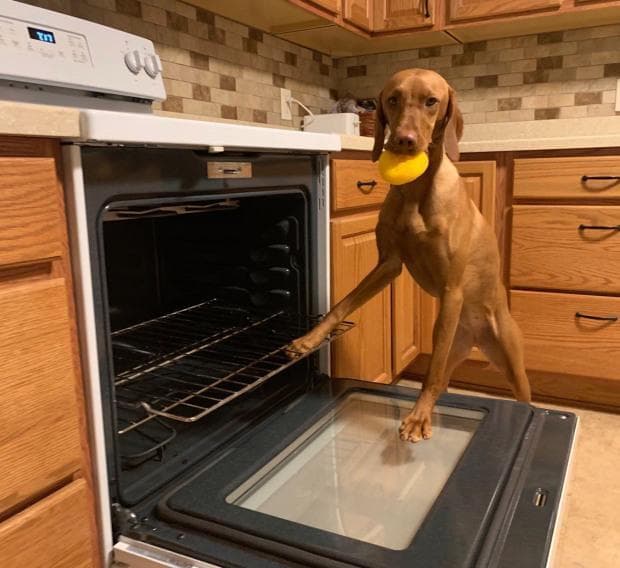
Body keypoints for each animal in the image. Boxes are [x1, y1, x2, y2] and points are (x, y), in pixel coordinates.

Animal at [290, 70, 528, 444]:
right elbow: (341, 305)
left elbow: (429, 372)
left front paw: (417, 418)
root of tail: (477, 334)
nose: (403, 140)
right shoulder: (387, 265)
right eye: (392, 99)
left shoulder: (451, 289)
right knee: (442, 378)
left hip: (508, 358)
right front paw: (310, 339)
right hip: (452, 344)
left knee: (499, 391)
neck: (417, 190)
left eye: (431, 101)